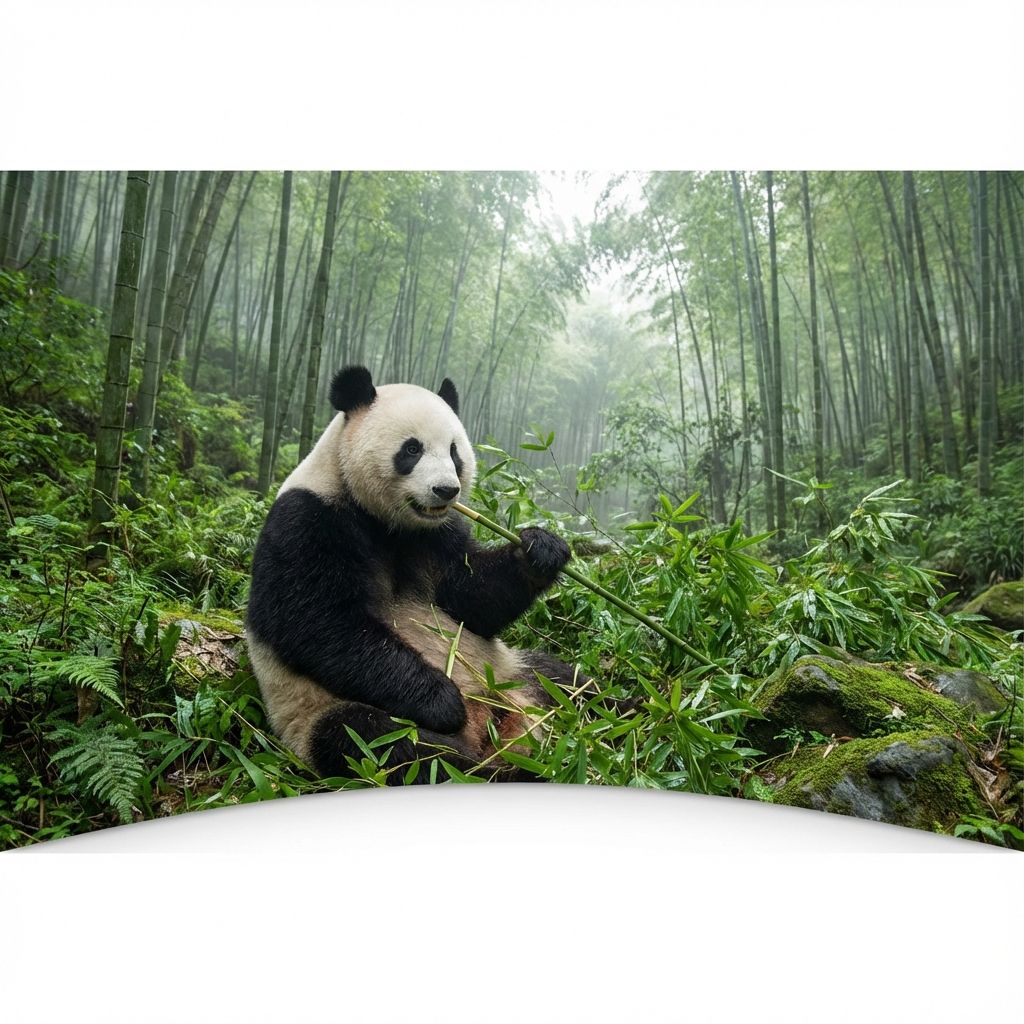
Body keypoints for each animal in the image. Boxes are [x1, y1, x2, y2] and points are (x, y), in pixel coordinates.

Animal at [246, 364, 581, 783]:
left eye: (454, 452)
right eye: (411, 449)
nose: (446, 490)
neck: (386, 522)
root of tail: (488, 725)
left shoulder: (436, 534)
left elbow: (470, 599)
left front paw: (541, 550)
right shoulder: (307, 520)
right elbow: (316, 622)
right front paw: (443, 701)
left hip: (511, 669)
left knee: (566, 679)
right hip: (323, 714)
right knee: (394, 748)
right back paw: (505, 772)